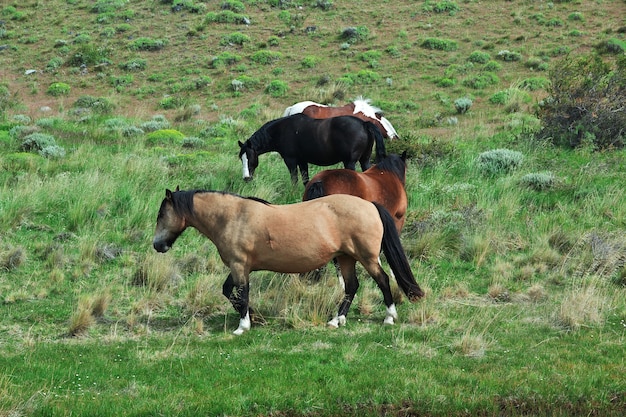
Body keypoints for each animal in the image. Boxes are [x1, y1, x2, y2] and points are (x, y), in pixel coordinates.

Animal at [152, 188, 424, 334]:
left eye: (162, 213)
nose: (157, 245)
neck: (232, 217)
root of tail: (369, 204)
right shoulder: (241, 267)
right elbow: (230, 292)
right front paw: (254, 317)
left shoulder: (239, 266)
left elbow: (242, 293)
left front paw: (243, 326)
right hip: (345, 258)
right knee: (351, 286)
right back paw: (337, 320)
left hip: (366, 257)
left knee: (383, 280)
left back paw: (389, 316)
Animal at [239, 114, 386, 185]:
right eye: (241, 159)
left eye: (250, 157)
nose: (246, 178)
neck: (281, 130)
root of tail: (364, 124)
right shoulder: (302, 161)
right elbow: (305, 180)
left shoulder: (291, 161)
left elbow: (294, 180)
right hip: (364, 160)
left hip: (349, 162)